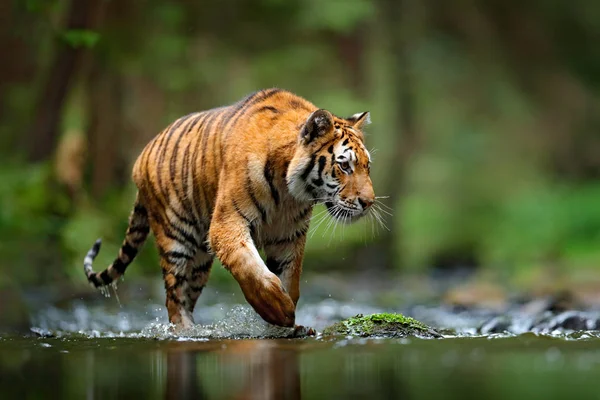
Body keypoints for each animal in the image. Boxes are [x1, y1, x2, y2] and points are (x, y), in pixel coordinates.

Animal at [83, 89, 376, 330]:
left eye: (367, 166)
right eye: (344, 166)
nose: (369, 202)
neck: (288, 193)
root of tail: (141, 157)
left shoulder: (288, 236)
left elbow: (290, 277)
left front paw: (285, 324)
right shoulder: (227, 223)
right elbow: (249, 266)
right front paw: (278, 310)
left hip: (200, 261)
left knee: (187, 296)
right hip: (175, 239)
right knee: (173, 298)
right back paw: (186, 333)